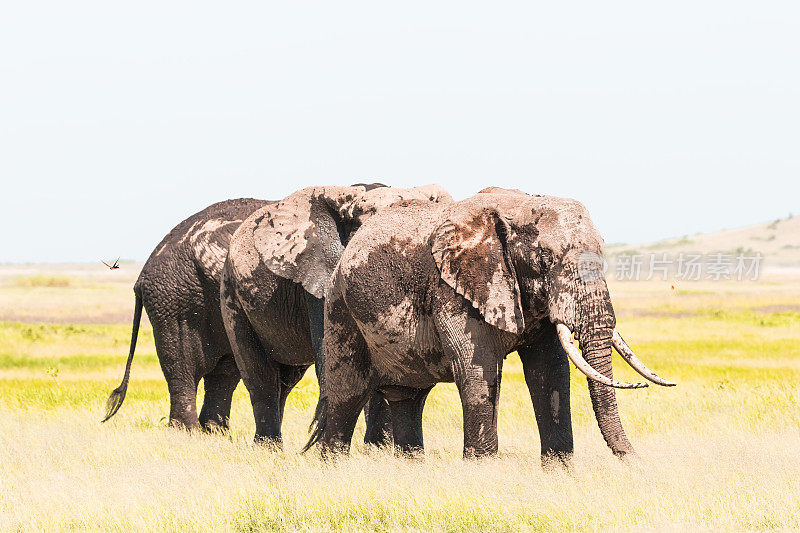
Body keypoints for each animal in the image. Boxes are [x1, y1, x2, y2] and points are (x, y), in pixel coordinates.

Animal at [102, 197, 272, 430]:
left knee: (225, 370)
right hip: (177, 300)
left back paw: (215, 432)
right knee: (185, 367)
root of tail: (141, 275)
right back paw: (188, 431)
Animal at [306, 189, 676, 460]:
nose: (635, 461)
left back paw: (411, 465)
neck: (518, 206)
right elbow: (475, 368)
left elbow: (549, 370)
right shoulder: (452, 288)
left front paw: (559, 470)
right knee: (348, 392)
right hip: (340, 308)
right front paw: (481, 468)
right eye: (545, 260)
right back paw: (334, 467)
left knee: (409, 397)